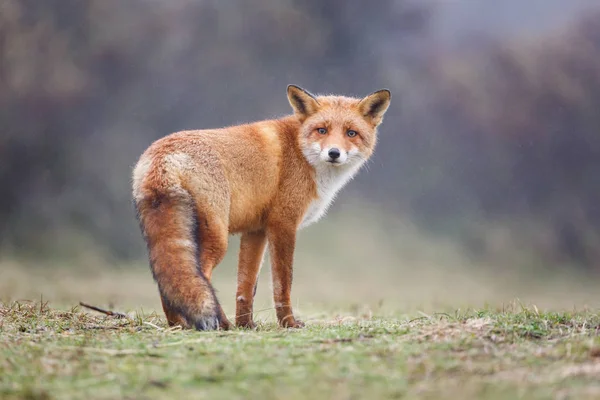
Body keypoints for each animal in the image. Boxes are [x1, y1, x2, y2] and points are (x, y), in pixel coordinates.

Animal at [133, 83, 392, 328]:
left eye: (351, 133)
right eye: (322, 130)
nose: (334, 153)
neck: (300, 151)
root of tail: (163, 156)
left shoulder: (255, 230)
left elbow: (246, 286)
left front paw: (246, 325)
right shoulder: (283, 224)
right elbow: (283, 283)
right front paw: (288, 323)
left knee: (169, 285)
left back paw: (181, 325)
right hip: (216, 239)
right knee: (200, 279)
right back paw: (215, 324)